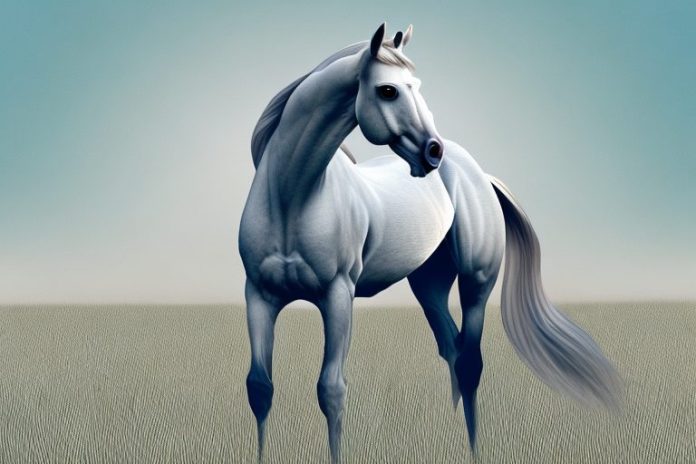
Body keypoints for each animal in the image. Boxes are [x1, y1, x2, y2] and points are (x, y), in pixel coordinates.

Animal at [239, 23, 620, 462]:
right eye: (388, 90)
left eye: (416, 85)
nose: (432, 152)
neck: (293, 200)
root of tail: (477, 172)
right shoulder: (259, 296)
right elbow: (260, 388)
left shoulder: (337, 296)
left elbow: (331, 391)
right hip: (429, 284)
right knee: (451, 350)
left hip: (476, 282)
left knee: (470, 363)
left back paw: (473, 448)